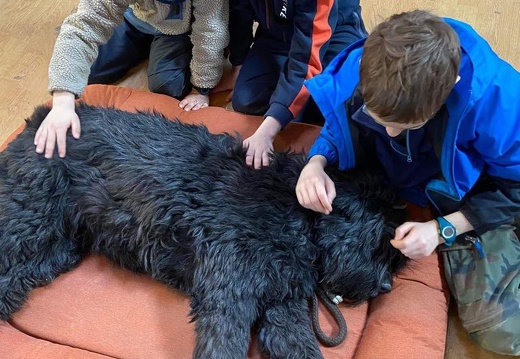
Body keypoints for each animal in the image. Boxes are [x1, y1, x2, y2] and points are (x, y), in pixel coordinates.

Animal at [0, 105, 406, 359]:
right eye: (377, 244)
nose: (385, 287)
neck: (297, 217)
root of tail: (40, 118)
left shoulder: (282, 303)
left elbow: (298, 346)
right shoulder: (230, 293)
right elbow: (223, 346)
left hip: (57, 245)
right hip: (30, 221)